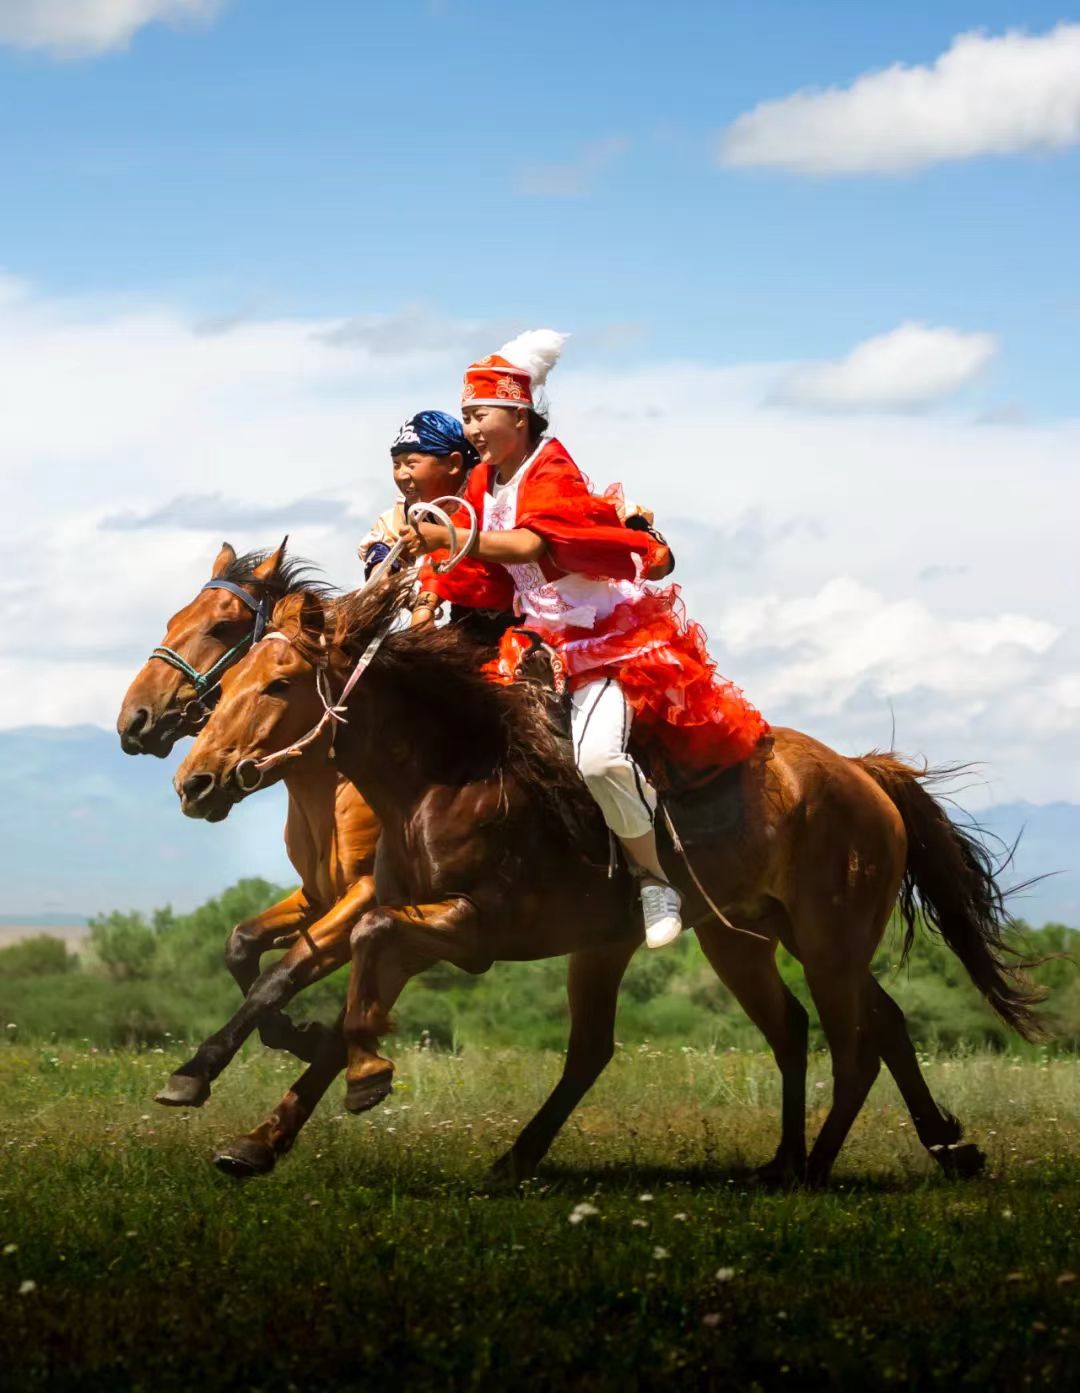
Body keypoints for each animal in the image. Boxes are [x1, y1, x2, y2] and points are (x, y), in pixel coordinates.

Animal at [173, 576, 1042, 1186]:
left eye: (277, 684)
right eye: (231, 679)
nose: (195, 780)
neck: (448, 772)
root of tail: (863, 773)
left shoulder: (471, 926)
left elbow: (361, 948)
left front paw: (360, 1074)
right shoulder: (414, 919)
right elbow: (347, 996)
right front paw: (260, 1133)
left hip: (826, 943)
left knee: (854, 1044)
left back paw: (817, 1165)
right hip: (743, 938)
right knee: (821, 1026)